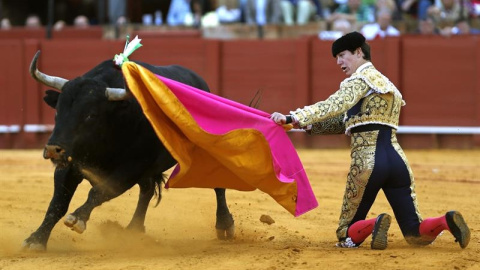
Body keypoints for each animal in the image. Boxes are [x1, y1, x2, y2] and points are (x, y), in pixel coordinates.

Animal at [22, 51, 236, 251]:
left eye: (91, 115)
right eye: (57, 110)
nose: (53, 149)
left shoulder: (131, 169)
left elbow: (100, 191)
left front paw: (77, 218)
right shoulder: (70, 165)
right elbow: (58, 203)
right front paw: (36, 239)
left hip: (207, 150)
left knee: (218, 184)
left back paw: (225, 225)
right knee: (147, 191)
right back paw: (134, 229)